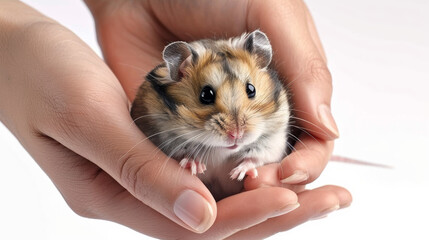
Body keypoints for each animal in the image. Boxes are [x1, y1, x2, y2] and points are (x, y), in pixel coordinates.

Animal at [130, 30, 290, 200]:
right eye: (206, 95)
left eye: (251, 89)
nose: (237, 135)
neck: (221, 150)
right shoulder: (165, 138)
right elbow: (183, 152)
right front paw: (196, 166)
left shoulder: (274, 141)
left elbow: (257, 156)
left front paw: (237, 173)